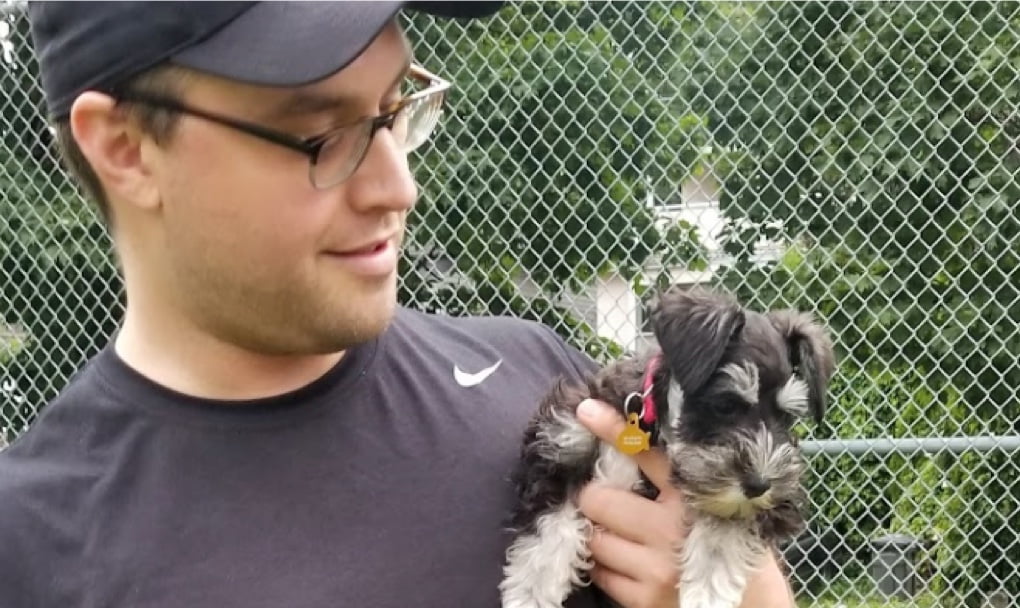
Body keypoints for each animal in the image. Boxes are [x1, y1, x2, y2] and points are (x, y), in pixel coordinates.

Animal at [497, 285, 832, 608]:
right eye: (724, 404)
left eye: (786, 417)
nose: (759, 485)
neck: (655, 431)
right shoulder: (562, 441)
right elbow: (548, 528)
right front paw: (530, 593)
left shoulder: (775, 502)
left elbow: (725, 525)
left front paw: (708, 592)